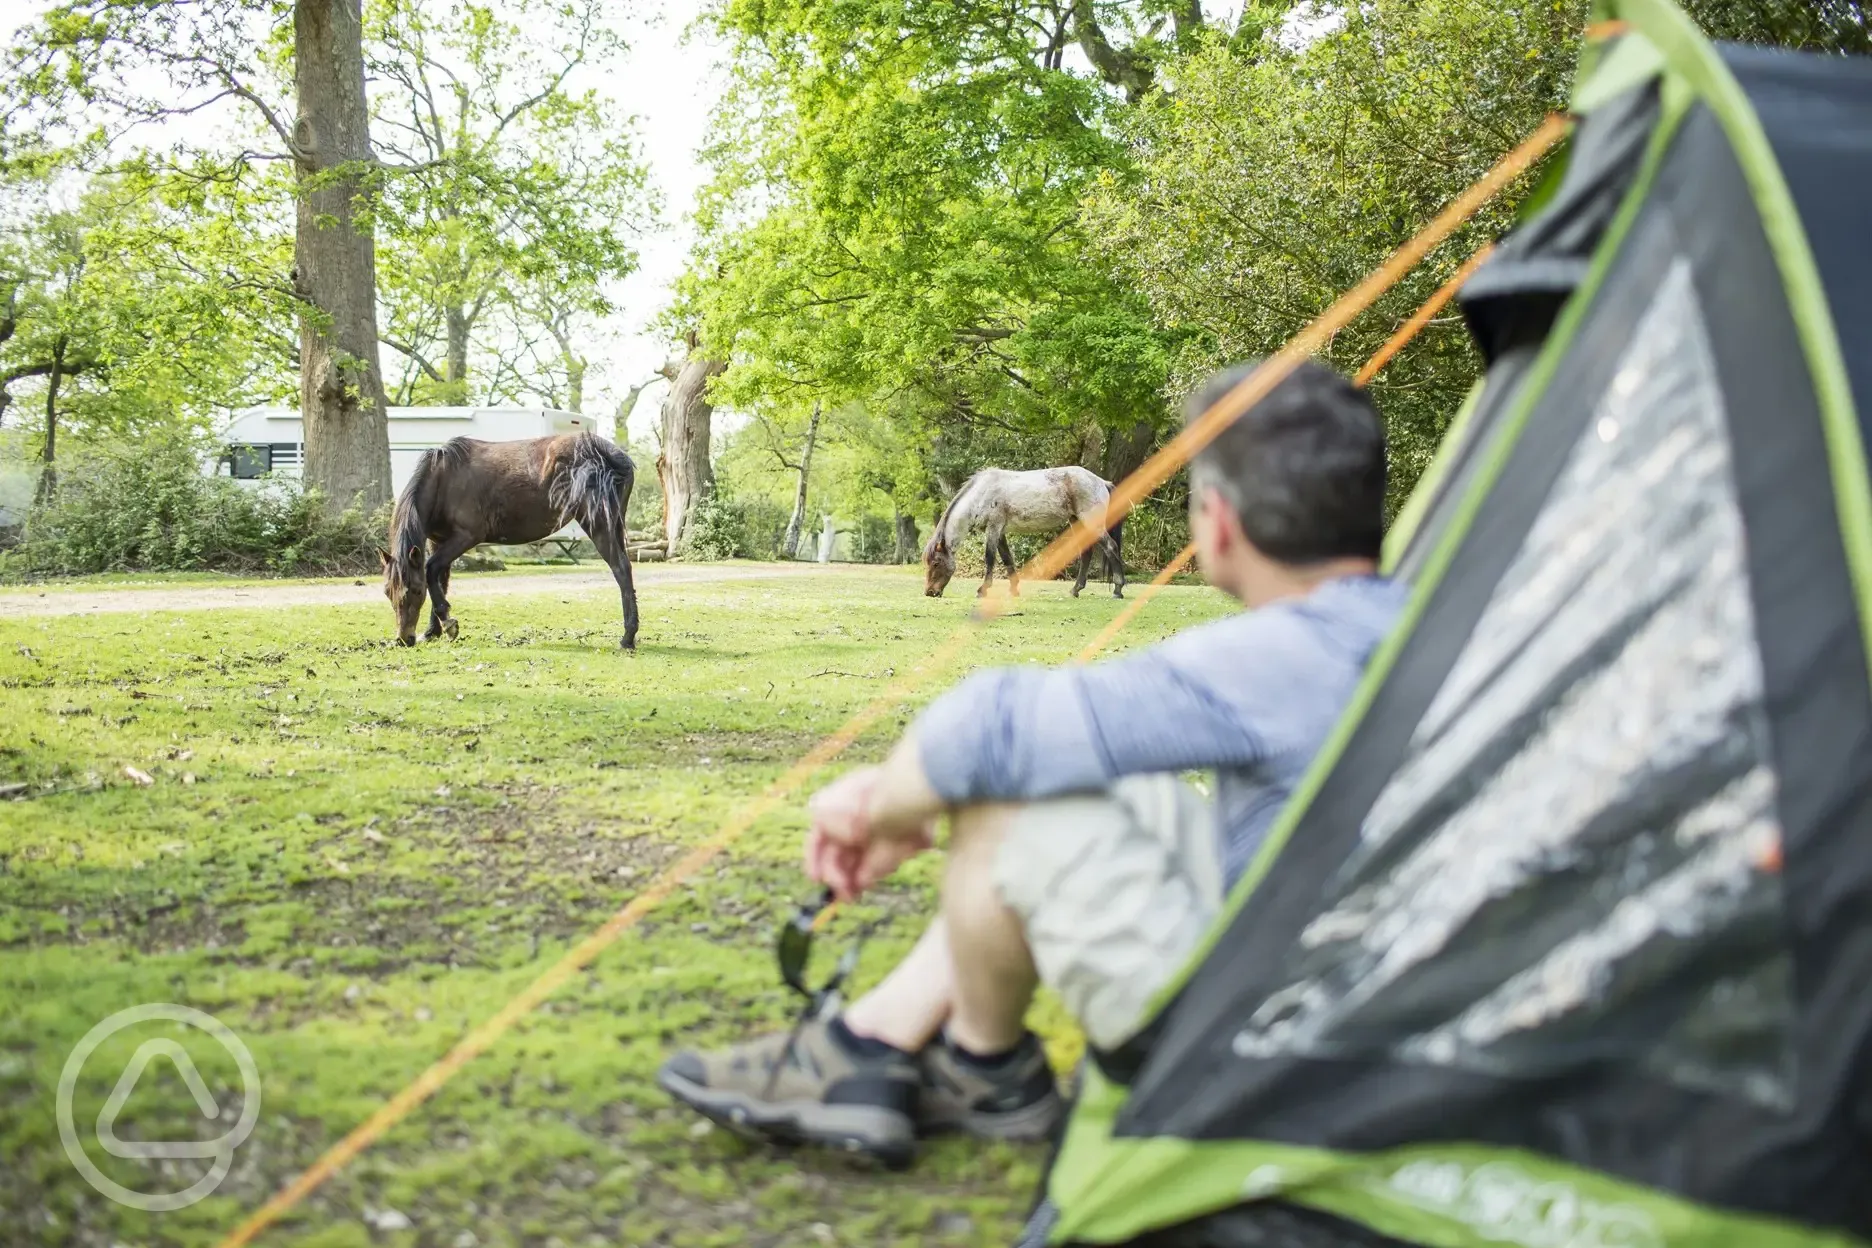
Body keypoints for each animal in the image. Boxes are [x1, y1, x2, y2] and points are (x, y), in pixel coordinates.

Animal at [381, 432, 643, 651]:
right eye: (387, 592)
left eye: (416, 591)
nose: (404, 639)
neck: (443, 480)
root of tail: (612, 455)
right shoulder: (438, 542)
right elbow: (438, 579)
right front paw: (433, 631)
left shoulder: (463, 538)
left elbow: (431, 570)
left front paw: (448, 624)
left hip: (598, 524)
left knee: (621, 569)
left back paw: (627, 638)